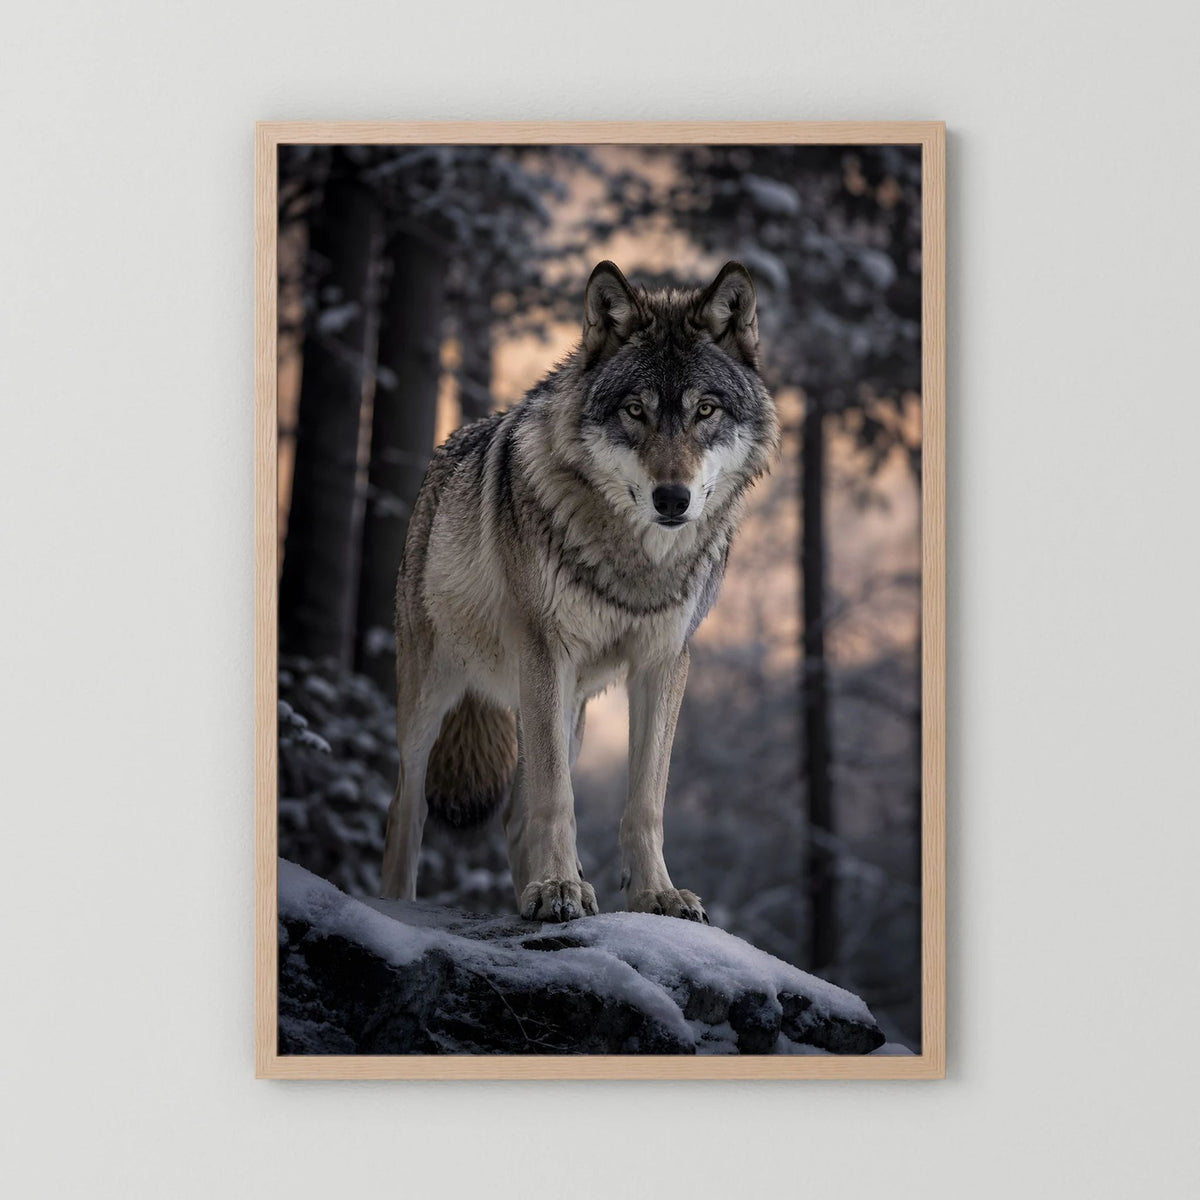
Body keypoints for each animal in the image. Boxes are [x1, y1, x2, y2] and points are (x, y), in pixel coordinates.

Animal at [380, 260, 779, 924]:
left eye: (705, 409)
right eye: (635, 410)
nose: (673, 498)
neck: (636, 561)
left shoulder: (663, 663)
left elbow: (645, 802)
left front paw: (656, 895)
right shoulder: (547, 652)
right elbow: (558, 798)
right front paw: (558, 888)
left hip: (569, 711)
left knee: (514, 817)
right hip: (436, 695)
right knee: (406, 806)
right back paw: (401, 906)